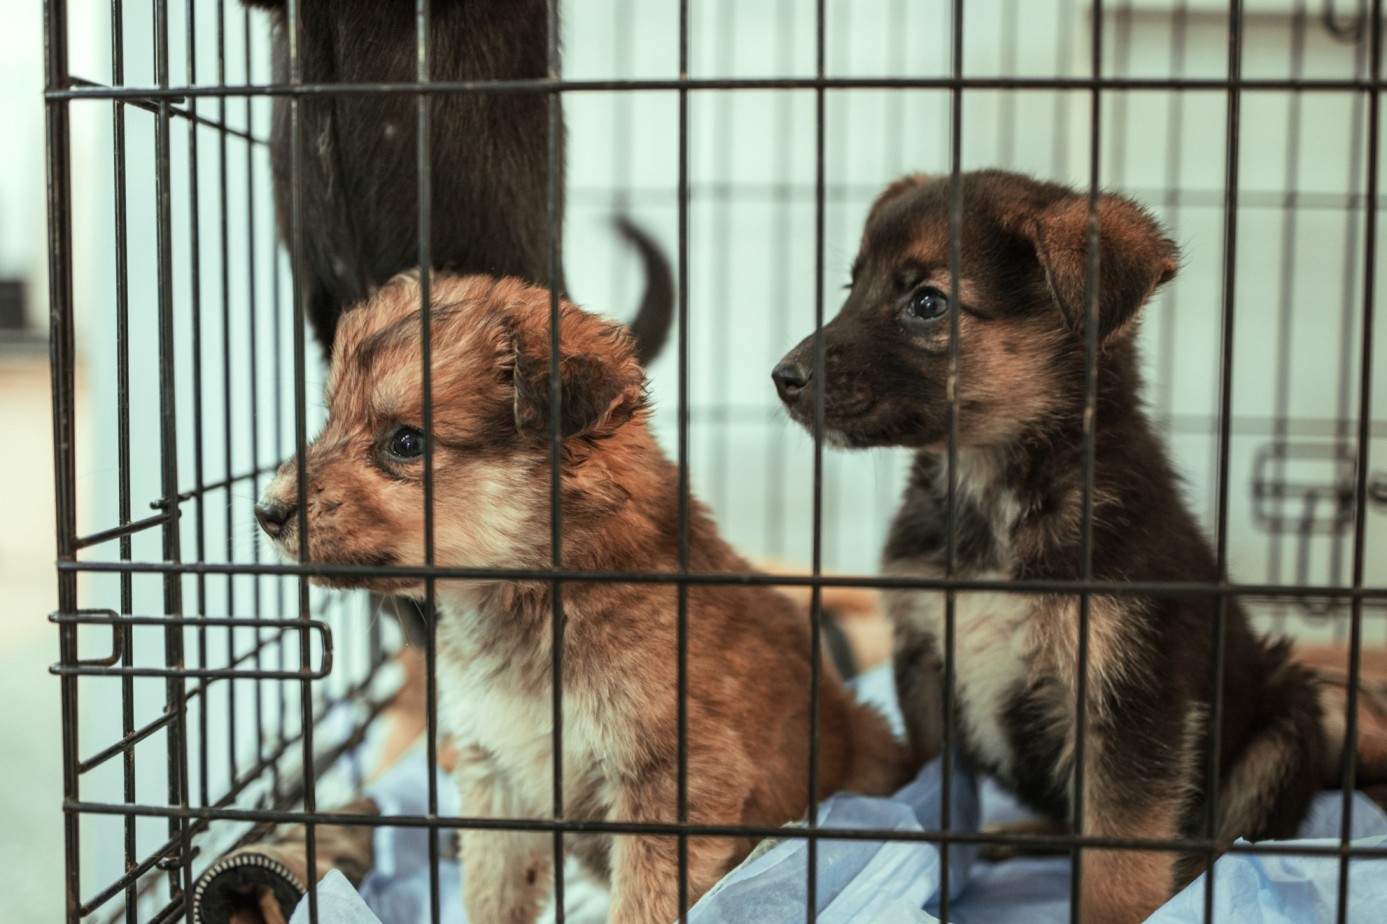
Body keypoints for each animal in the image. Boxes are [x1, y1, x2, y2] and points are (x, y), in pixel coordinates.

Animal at [257, 270, 909, 915]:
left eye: (405, 443)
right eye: (331, 421)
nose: (266, 510)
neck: (536, 597)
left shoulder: (673, 782)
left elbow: (641, 903)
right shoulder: (498, 773)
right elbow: (492, 892)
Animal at [776, 170, 1325, 921]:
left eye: (926, 303)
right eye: (851, 288)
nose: (782, 378)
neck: (993, 497)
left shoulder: (1129, 696)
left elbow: (1117, 857)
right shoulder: (928, 668)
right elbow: (940, 800)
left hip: (1289, 717)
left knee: (1232, 836)